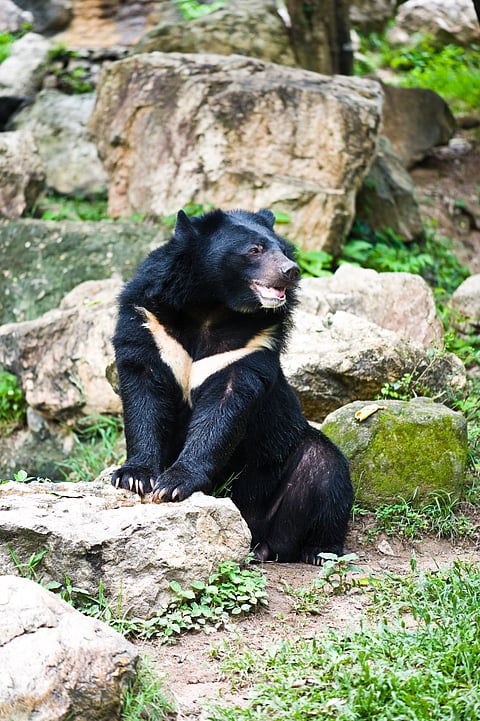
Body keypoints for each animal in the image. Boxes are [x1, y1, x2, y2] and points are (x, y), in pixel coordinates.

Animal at [111, 208, 353, 564]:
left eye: (283, 249)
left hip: (283, 461)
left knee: (327, 474)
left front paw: (173, 484)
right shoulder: (148, 324)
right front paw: (134, 478)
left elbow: (223, 409)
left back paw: (318, 551)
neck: (212, 307)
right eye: (254, 250)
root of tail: (256, 535)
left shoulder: (251, 344)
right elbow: (144, 392)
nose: (290, 271)